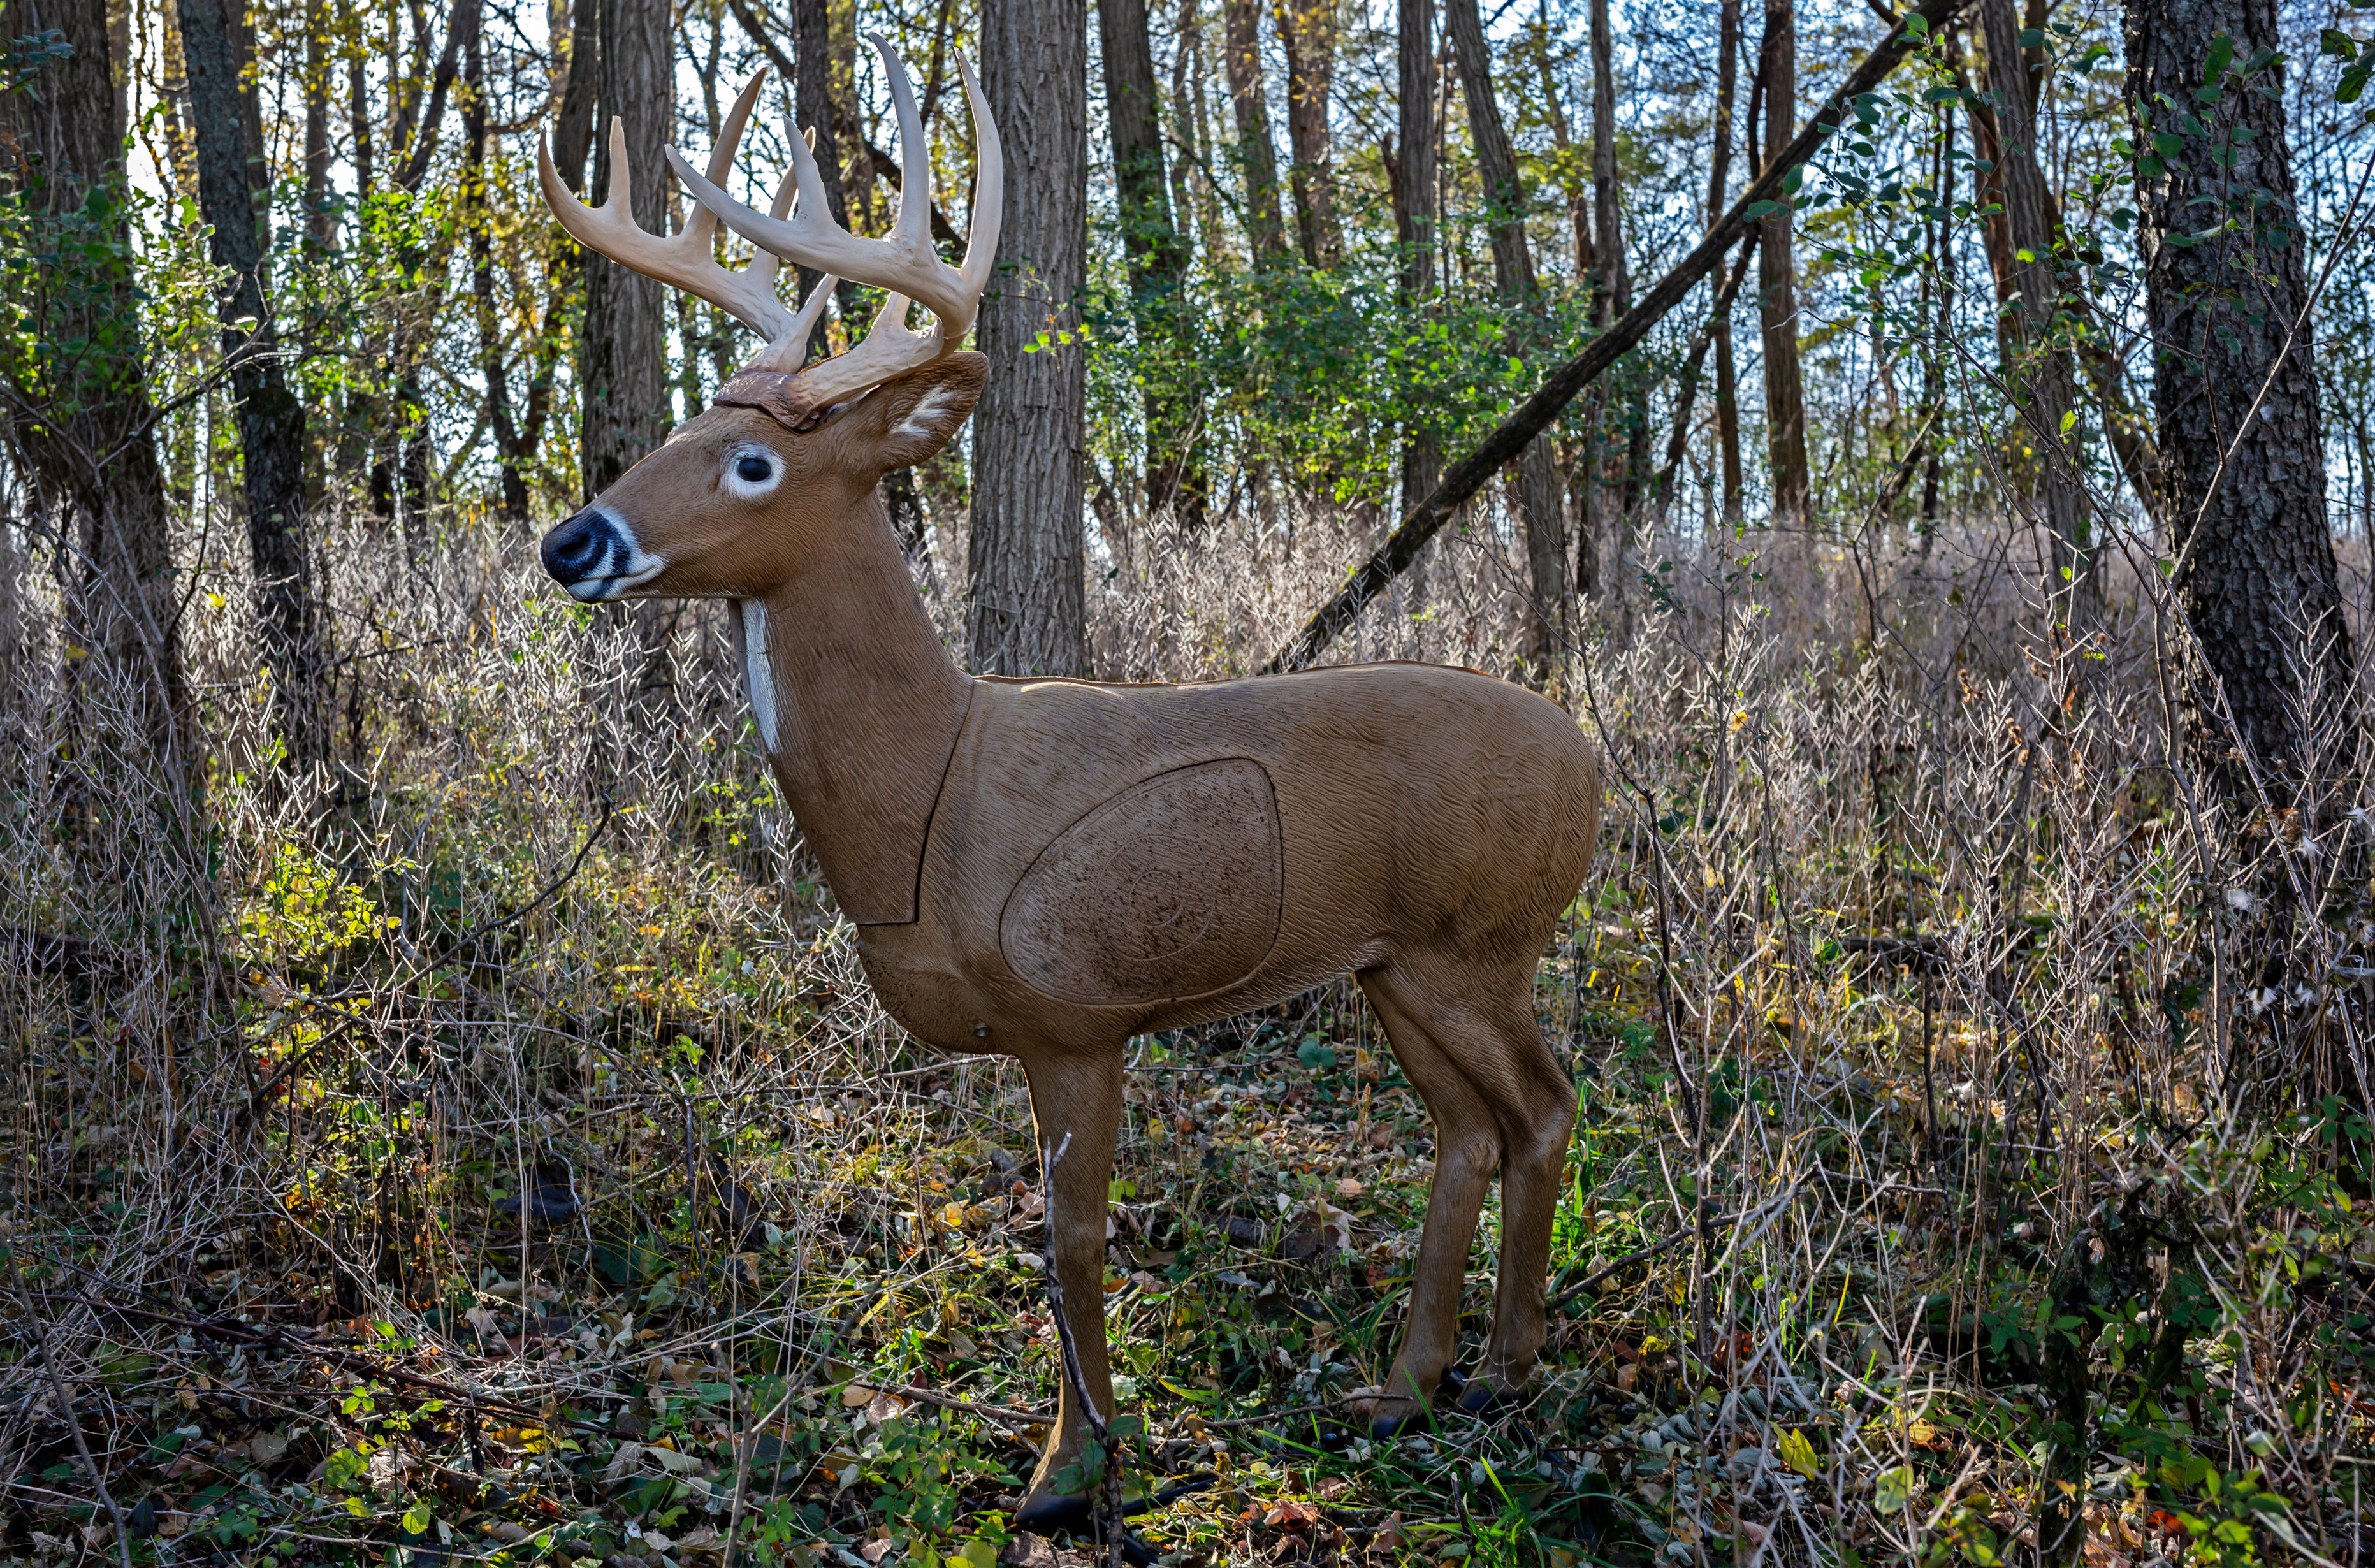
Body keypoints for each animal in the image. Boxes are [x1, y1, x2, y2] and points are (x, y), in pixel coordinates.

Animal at [533, 40, 1600, 1535]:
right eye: (683, 430)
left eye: (753, 462)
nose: (571, 542)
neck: (932, 799)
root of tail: (1594, 755)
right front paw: (1083, 1451)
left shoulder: (1078, 1012)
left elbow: (1072, 1234)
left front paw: (1071, 1469)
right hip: (1396, 962)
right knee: (1466, 1131)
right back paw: (1405, 1388)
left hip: (1483, 940)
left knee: (1544, 1109)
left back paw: (1500, 1374)